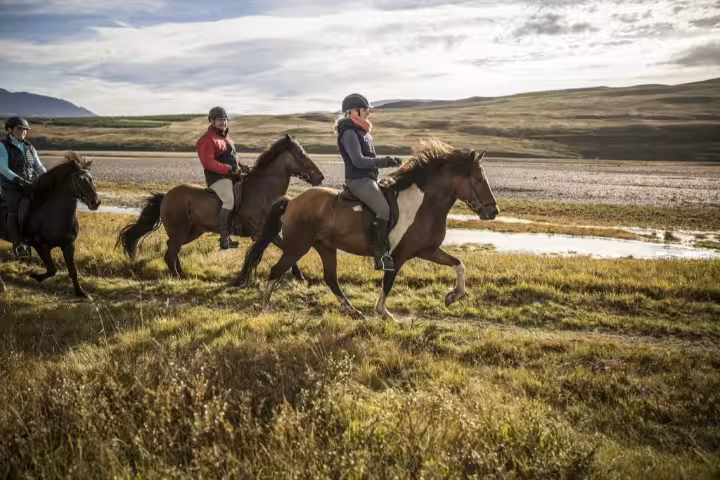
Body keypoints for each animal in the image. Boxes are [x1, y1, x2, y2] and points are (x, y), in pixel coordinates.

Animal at [0, 152, 101, 299]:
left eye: (92, 178)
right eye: (80, 179)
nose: (96, 202)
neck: (51, 213)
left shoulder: (68, 245)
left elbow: (72, 270)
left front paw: (81, 293)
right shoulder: (40, 246)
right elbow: (52, 269)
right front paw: (33, 275)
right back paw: (2, 285)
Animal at [117, 134, 324, 278]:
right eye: (301, 154)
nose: (320, 177)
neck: (264, 190)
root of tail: (166, 195)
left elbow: (288, 249)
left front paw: (298, 275)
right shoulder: (261, 232)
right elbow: (286, 249)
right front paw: (298, 276)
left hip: (192, 232)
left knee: (172, 249)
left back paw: (181, 273)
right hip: (180, 231)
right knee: (170, 254)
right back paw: (177, 277)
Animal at [236, 138, 499, 320]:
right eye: (478, 179)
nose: (493, 211)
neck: (423, 204)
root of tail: (292, 201)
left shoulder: (428, 250)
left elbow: (459, 265)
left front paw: (453, 296)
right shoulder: (398, 255)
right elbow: (388, 281)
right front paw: (383, 312)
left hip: (325, 247)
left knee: (330, 278)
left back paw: (352, 310)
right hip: (298, 246)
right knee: (276, 270)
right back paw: (264, 305)